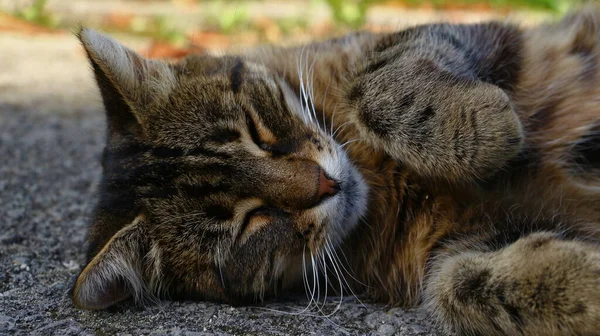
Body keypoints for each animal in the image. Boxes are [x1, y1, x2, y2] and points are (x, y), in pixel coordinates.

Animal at [72, 5, 596, 336]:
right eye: (251, 222)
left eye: (257, 133)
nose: (327, 184)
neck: (382, 180)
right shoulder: (457, 247)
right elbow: (458, 287)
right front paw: (585, 284)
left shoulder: (446, 36)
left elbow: (377, 80)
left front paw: (480, 130)